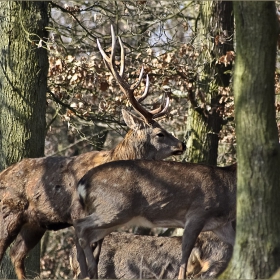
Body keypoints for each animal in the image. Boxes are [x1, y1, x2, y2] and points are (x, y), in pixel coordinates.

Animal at [0, 25, 186, 278]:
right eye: (160, 133)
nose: (182, 144)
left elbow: (95, 262)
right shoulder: (78, 215)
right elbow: (83, 263)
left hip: (35, 223)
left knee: (16, 254)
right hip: (8, 212)